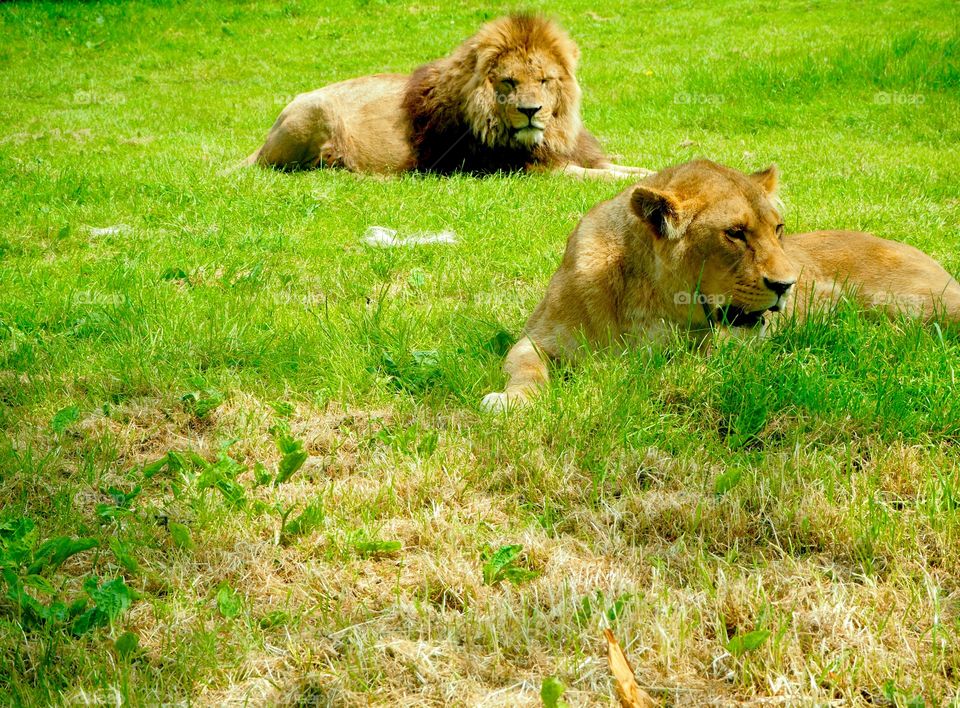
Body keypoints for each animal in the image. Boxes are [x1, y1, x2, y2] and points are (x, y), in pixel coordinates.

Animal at [243, 14, 649, 178]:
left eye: (544, 80)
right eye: (508, 82)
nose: (531, 111)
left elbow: (626, 169)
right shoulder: (525, 169)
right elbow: (597, 178)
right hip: (315, 114)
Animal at [482, 159, 960, 411]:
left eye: (778, 229)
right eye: (735, 233)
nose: (788, 284)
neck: (646, 298)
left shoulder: (732, 346)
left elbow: (666, 372)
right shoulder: (538, 337)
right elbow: (526, 370)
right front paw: (512, 403)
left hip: (921, 302)